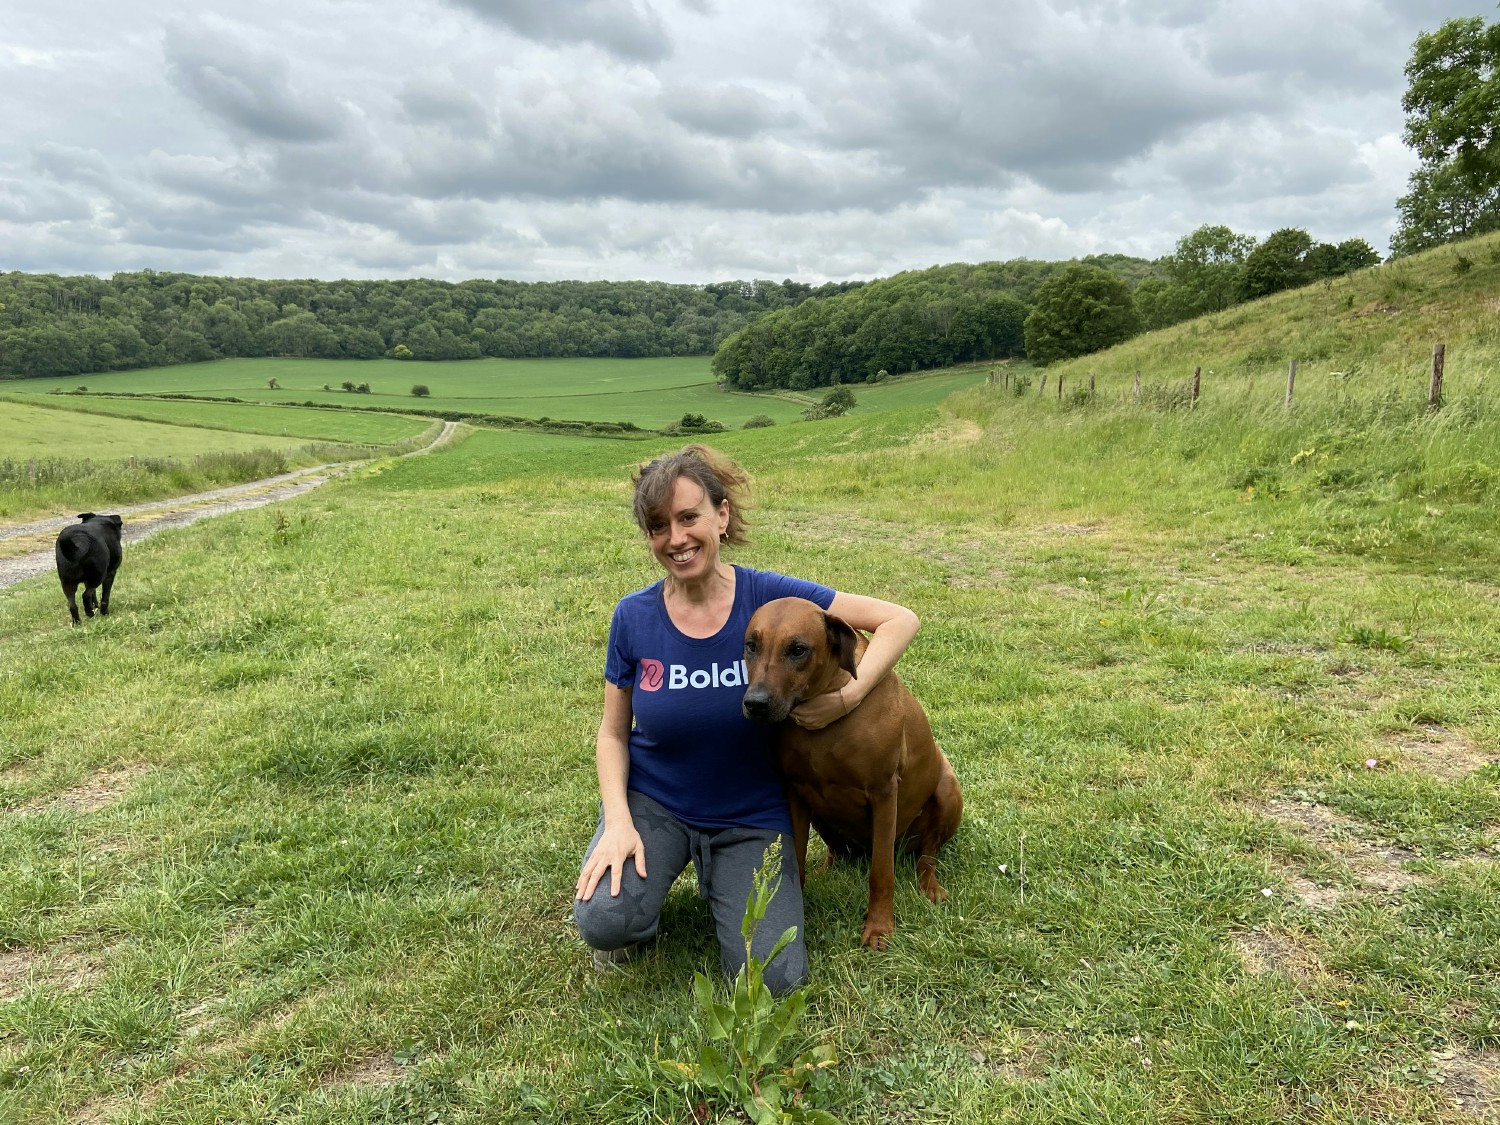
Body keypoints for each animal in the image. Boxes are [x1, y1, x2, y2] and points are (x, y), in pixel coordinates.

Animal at [738, 600, 960, 954]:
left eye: (798, 649)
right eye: (752, 645)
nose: (755, 704)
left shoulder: (884, 793)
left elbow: (881, 872)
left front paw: (879, 927)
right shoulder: (795, 792)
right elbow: (796, 858)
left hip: (948, 790)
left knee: (928, 854)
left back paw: (931, 885)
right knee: (837, 851)